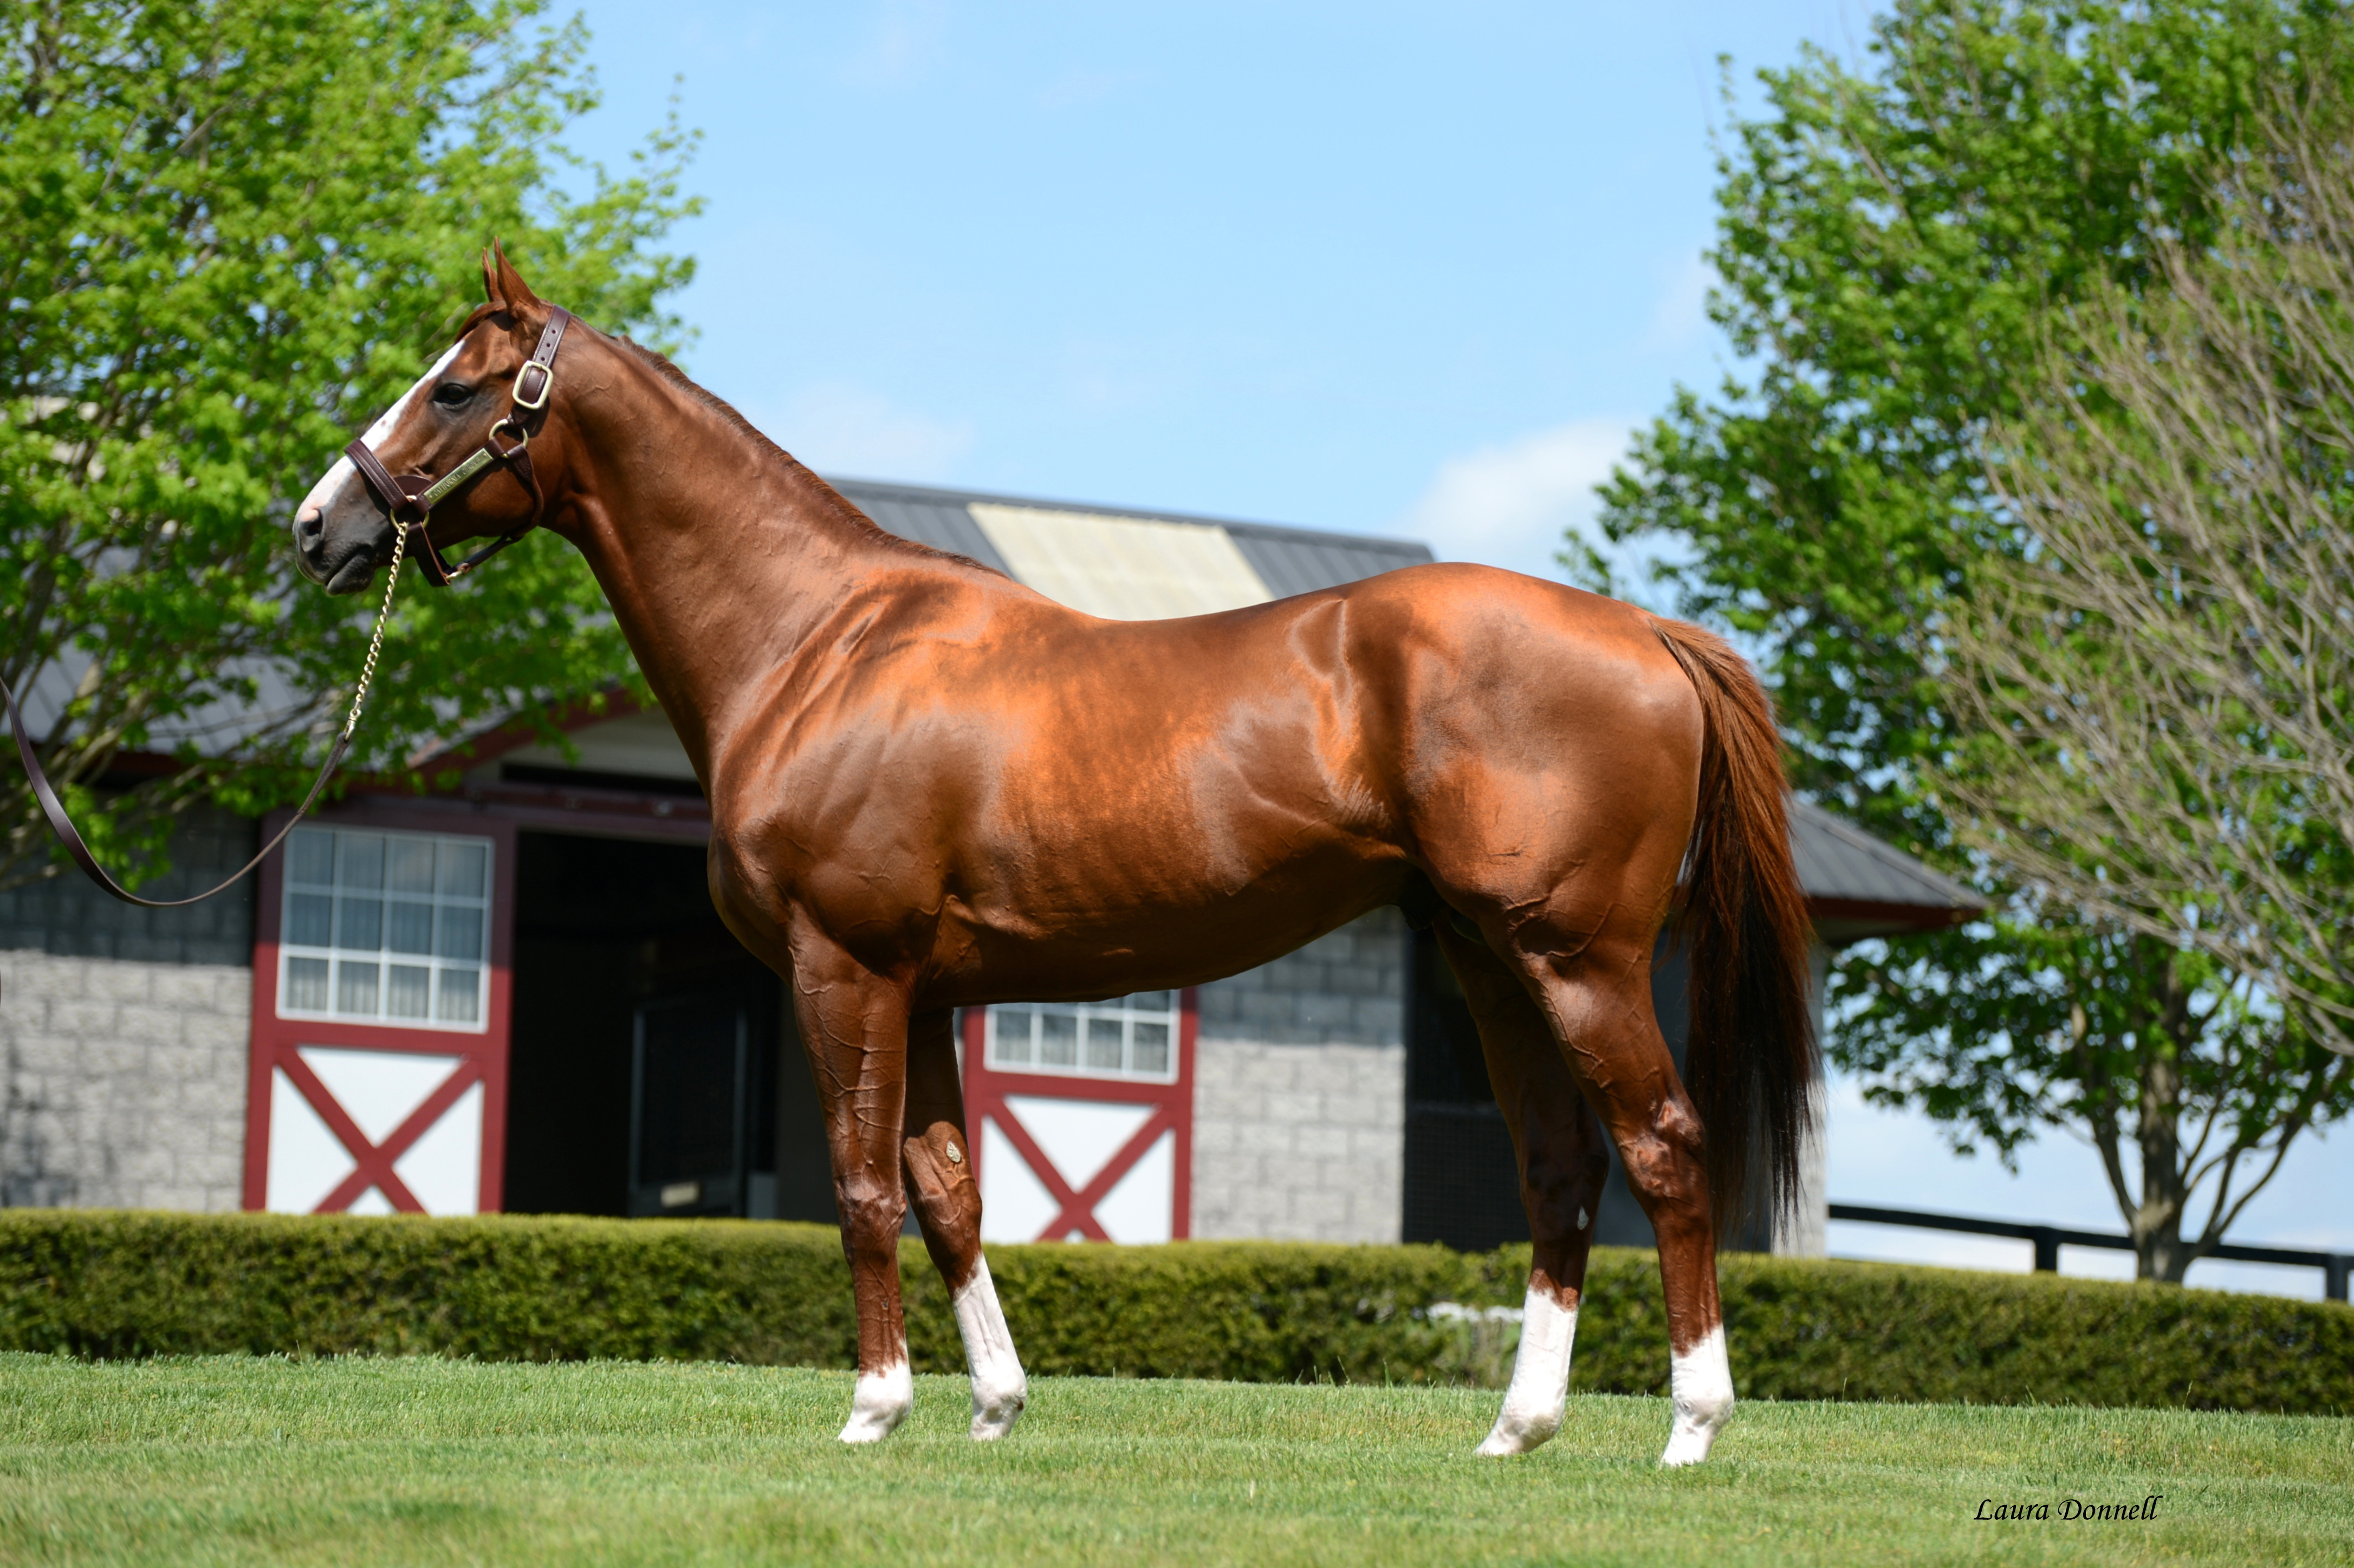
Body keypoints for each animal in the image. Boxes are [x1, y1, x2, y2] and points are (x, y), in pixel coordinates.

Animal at [299, 250, 1817, 1460]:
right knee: (1561, 1169)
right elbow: (949, 1191)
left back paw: (1690, 1425)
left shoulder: (842, 968)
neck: (815, 644)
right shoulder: (921, 991)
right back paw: (1518, 1428)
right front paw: (990, 1405)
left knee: (1667, 1151)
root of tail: (1646, 633)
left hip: (1579, 962)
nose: (321, 524)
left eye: (454, 388)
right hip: (1490, 964)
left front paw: (873, 1407)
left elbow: (863, 1186)